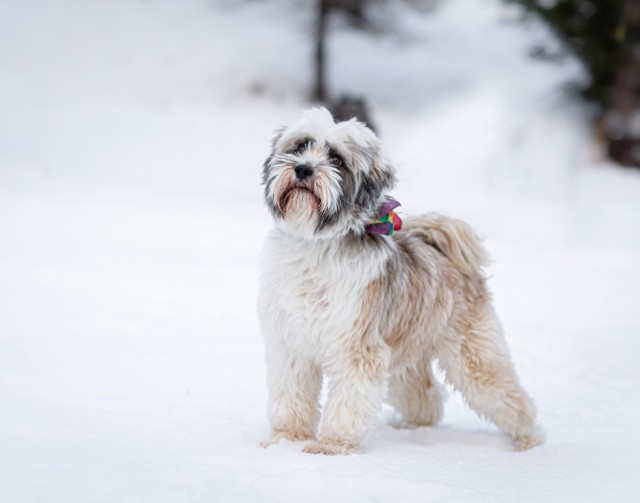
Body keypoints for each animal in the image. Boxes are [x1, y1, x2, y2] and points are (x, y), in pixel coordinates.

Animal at [258, 108, 544, 454]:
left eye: (337, 158)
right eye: (300, 146)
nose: (302, 169)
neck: (316, 244)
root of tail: (442, 246)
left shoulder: (357, 347)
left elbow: (347, 404)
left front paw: (333, 446)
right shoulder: (292, 345)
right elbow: (291, 397)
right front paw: (286, 439)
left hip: (473, 357)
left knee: (511, 397)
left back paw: (530, 440)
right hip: (406, 357)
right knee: (426, 395)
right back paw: (413, 427)